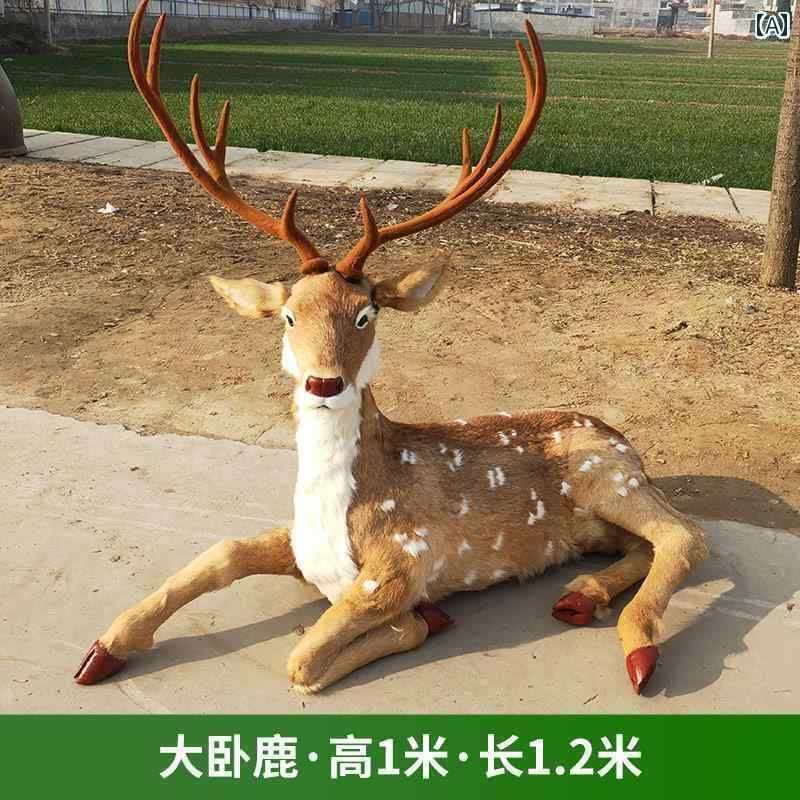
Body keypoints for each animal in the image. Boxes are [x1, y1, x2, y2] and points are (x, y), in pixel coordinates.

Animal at [74, 0, 708, 696]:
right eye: (288, 315)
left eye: (365, 314)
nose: (324, 383)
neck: (340, 505)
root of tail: (625, 439)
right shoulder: (304, 547)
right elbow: (223, 551)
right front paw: (102, 648)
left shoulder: (404, 559)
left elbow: (307, 659)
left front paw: (426, 621)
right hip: (603, 510)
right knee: (645, 546)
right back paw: (581, 594)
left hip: (607, 475)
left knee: (687, 534)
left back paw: (638, 648)